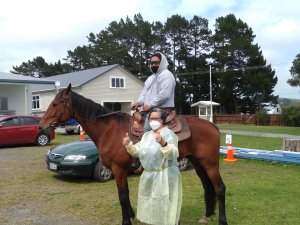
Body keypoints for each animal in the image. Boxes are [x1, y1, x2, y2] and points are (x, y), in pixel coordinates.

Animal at [39, 84, 227, 225]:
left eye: (55, 104)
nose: (41, 125)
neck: (109, 131)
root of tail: (212, 126)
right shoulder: (120, 170)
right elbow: (126, 194)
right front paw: (131, 215)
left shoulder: (118, 169)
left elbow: (122, 196)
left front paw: (126, 221)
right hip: (198, 162)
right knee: (208, 186)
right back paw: (207, 216)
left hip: (210, 163)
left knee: (220, 188)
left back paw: (222, 220)